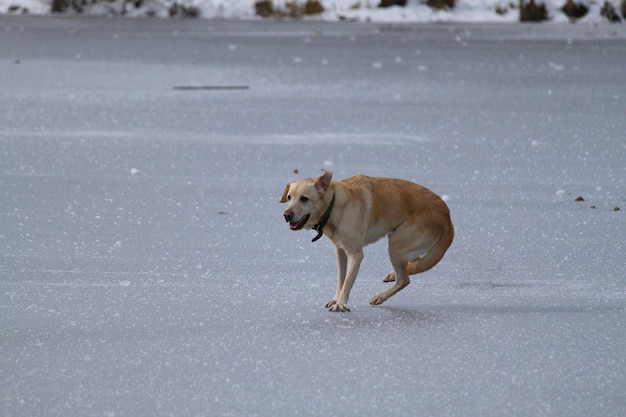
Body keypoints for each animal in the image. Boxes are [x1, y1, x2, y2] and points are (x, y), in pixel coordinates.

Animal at [280, 167, 450, 310]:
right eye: (289, 197)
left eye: (304, 198)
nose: (286, 215)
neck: (334, 205)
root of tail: (447, 217)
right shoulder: (340, 250)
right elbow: (341, 279)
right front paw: (335, 299)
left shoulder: (355, 254)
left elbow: (348, 281)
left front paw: (340, 304)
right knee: (413, 265)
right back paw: (393, 275)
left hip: (396, 246)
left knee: (404, 279)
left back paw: (380, 296)